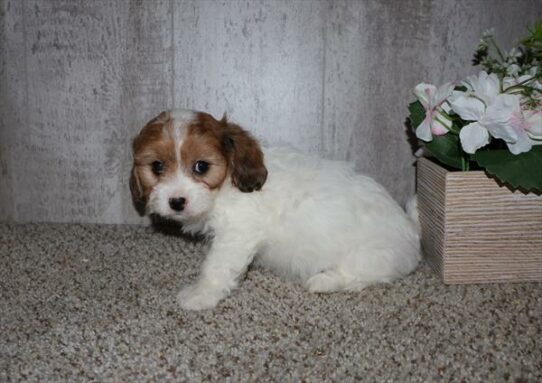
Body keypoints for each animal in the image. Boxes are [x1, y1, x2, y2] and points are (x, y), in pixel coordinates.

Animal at [131, 109, 420, 310]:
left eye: (201, 166)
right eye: (157, 167)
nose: (176, 201)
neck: (228, 183)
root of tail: (412, 229)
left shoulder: (236, 235)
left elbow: (216, 267)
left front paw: (201, 294)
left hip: (370, 257)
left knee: (360, 276)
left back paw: (324, 281)